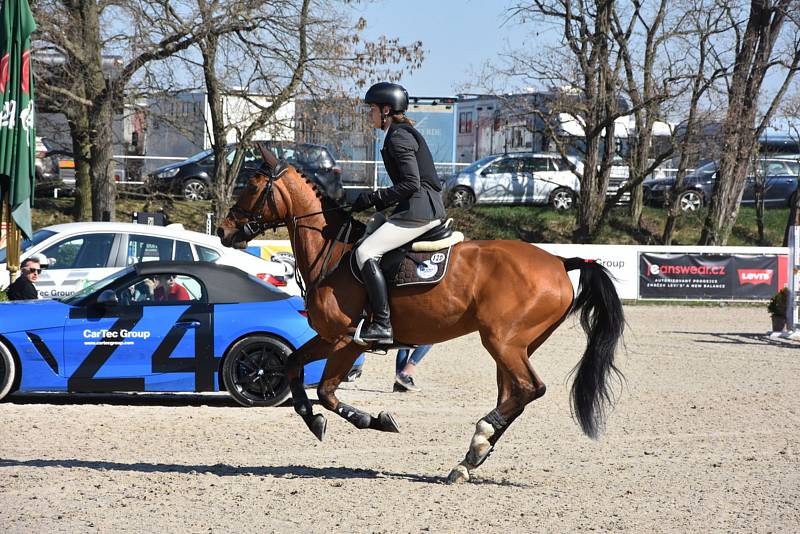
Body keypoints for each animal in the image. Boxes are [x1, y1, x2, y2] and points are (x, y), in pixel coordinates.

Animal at [219, 153, 624, 484]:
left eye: (252, 187)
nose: (224, 231)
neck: (332, 252)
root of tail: (560, 261)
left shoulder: (348, 341)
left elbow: (328, 392)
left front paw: (374, 421)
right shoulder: (329, 338)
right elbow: (292, 366)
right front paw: (314, 418)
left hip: (503, 341)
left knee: (529, 389)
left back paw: (478, 442)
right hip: (517, 345)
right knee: (514, 394)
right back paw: (470, 458)